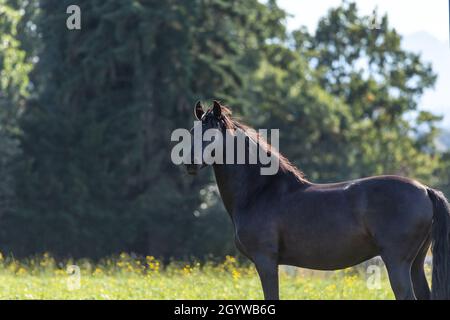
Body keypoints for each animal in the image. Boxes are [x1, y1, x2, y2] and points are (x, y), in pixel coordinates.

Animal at [185, 100, 450, 300]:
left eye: (212, 135)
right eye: (193, 133)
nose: (190, 163)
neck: (260, 191)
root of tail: (425, 189)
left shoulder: (266, 261)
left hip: (397, 262)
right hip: (416, 263)